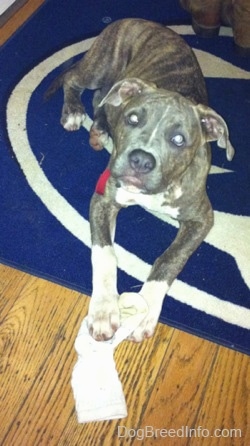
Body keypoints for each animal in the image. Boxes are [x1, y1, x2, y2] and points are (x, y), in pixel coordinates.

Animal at [46, 18, 235, 342]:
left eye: (179, 139)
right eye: (133, 119)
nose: (141, 161)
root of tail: (138, 20)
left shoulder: (202, 219)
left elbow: (169, 259)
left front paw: (146, 308)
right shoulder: (103, 199)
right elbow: (105, 254)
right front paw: (104, 309)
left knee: (101, 99)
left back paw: (99, 129)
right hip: (101, 66)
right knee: (75, 79)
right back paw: (74, 112)